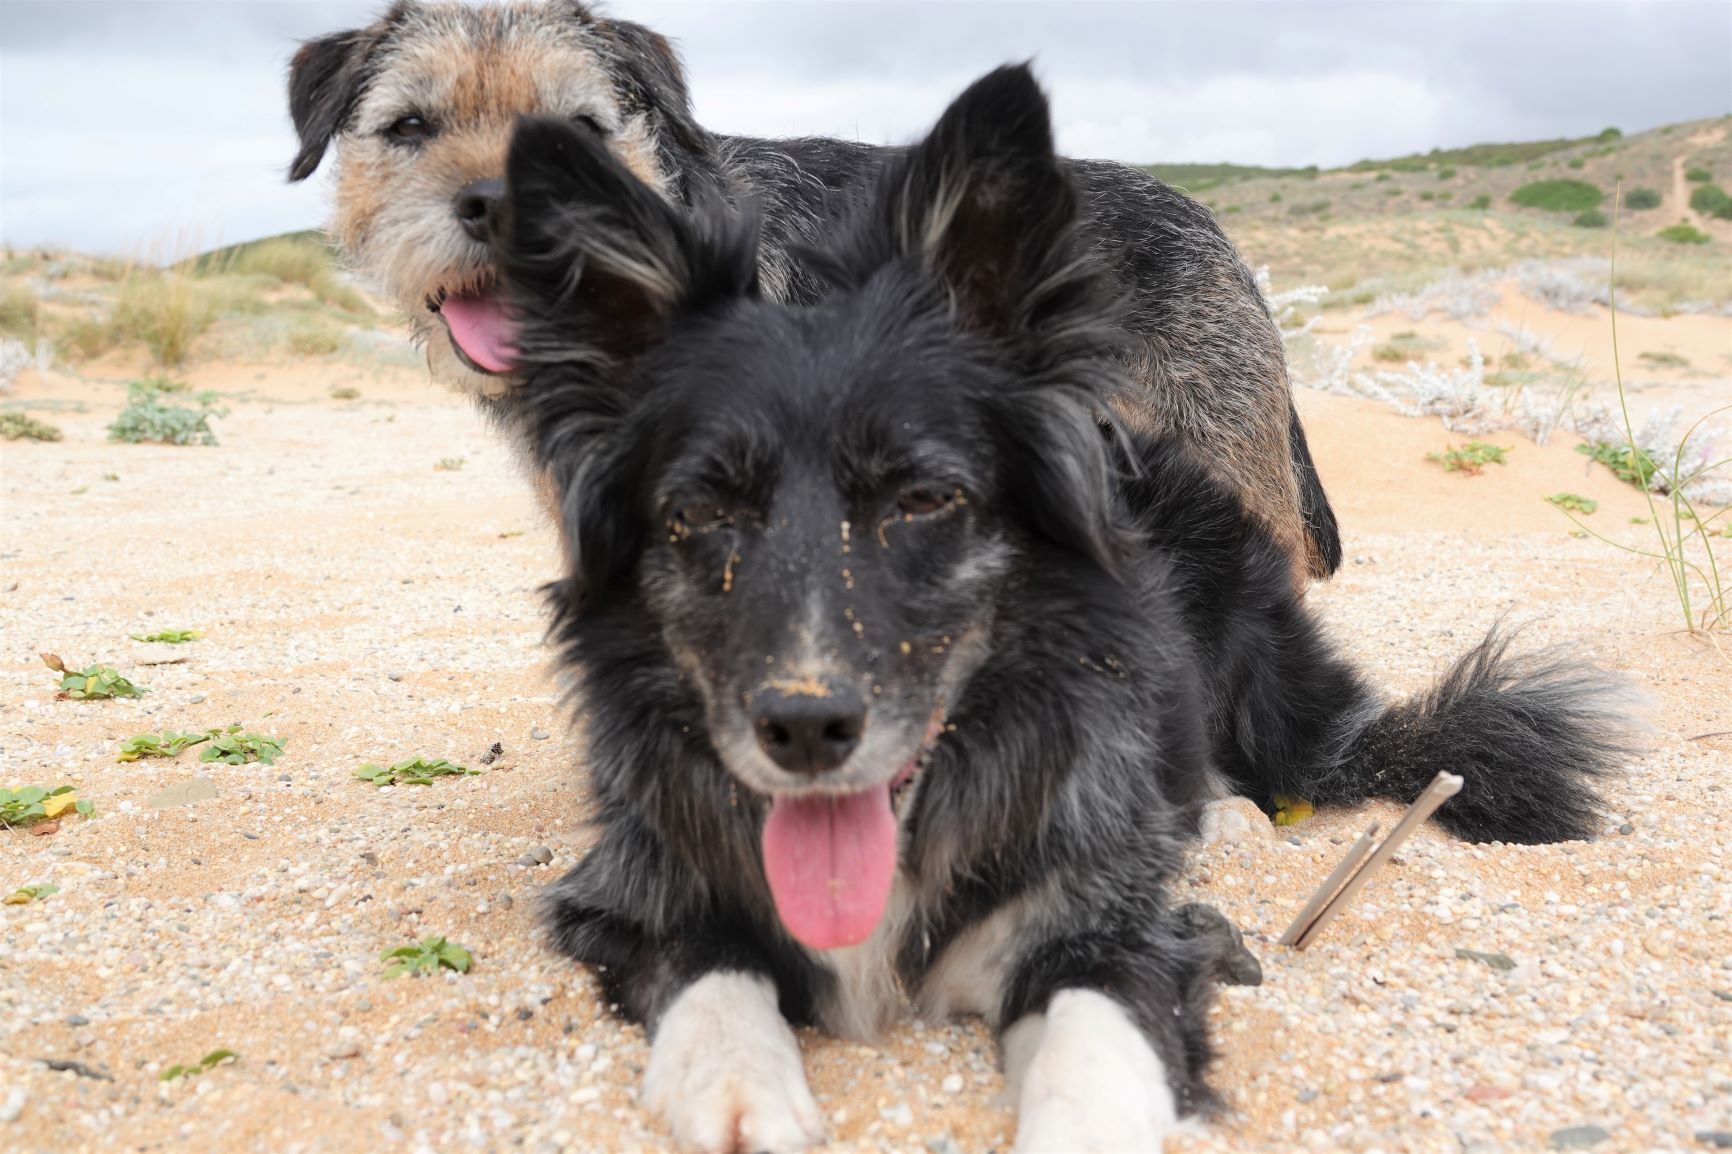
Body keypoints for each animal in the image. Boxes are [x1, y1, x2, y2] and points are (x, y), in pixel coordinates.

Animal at [491, 67, 1635, 1143]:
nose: (805, 732)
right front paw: (740, 1092)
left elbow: (1096, 1049)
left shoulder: (1107, 928)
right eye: (699, 511)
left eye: (925, 499)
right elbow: (714, 981)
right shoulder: (638, 893)